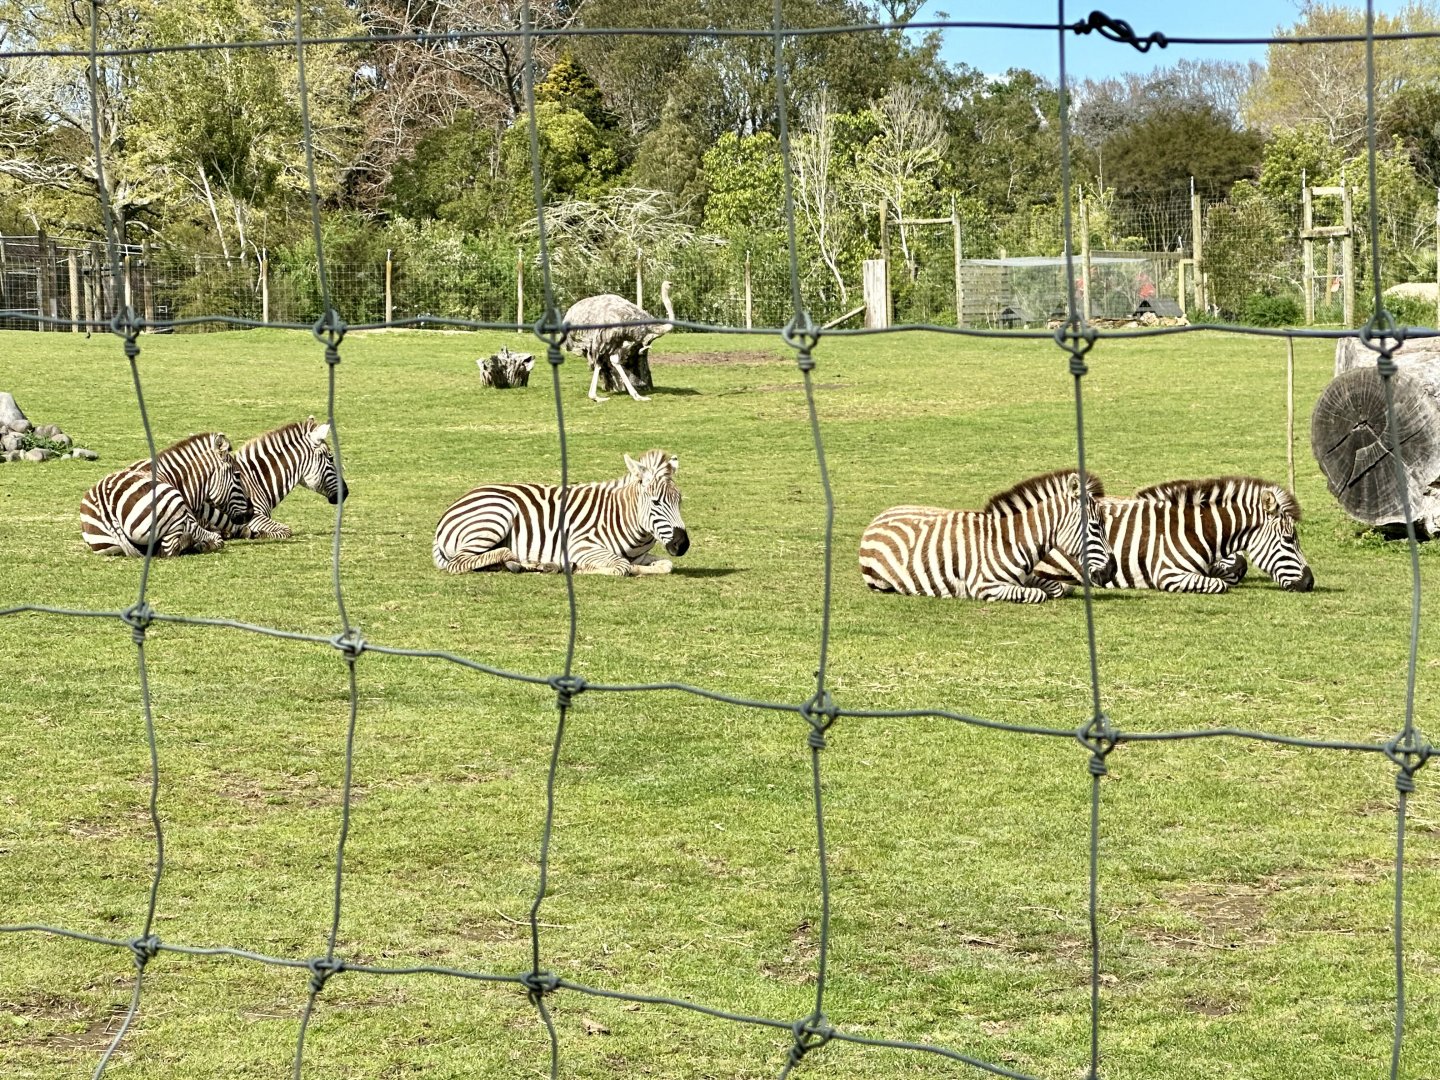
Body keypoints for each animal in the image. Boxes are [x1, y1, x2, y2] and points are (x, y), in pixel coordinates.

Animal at [80, 433, 252, 557]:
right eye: (237, 475)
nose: (250, 514)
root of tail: (106, 505)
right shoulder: (189, 512)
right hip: (174, 506)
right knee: (171, 548)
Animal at [213, 416, 348, 539]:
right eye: (330, 458)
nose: (346, 492)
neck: (255, 481)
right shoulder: (251, 516)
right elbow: (287, 530)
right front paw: (258, 533)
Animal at [433, 449, 689, 576]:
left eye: (679, 501)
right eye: (656, 502)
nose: (682, 545)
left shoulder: (641, 556)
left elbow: (665, 566)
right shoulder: (581, 545)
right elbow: (622, 567)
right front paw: (577, 568)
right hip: (496, 516)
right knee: (460, 562)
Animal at [858, 470, 1118, 602]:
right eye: (1095, 526)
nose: (1112, 571)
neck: (1013, 540)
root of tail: (877, 518)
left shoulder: (1025, 576)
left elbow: (1055, 588)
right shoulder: (984, 586)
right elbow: (1038, 594)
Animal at [1030, 476, 1314, 593]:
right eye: (1289, 540)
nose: (1310, 583)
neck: (1198, 531)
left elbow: (1234, 566)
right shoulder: (1167, 573)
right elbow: (1219, 583)